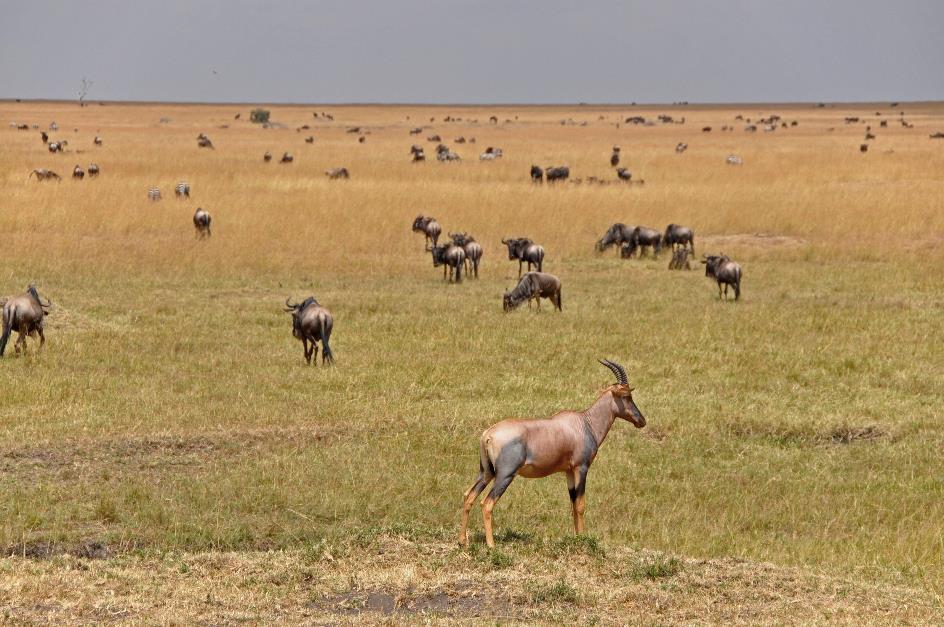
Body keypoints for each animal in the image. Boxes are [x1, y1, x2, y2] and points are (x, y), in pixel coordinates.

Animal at [460, 360, 644, 548]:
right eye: (627, 396)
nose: (641, 421)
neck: (585, 423)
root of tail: (488, 435)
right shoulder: (581, 468)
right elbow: (581, 505)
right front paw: (584, 539)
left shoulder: (568, 471)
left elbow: (573, 504)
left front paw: (577, 537)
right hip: (505, 475)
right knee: (487, 503)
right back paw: (491, 545)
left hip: (486, 472)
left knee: (469, 496)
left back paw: (462, 541)